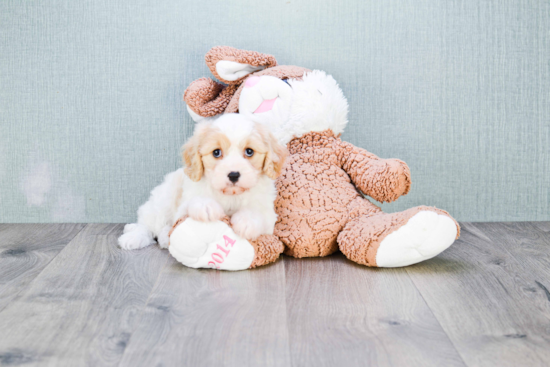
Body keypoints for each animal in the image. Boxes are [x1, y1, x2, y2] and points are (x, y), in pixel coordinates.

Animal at [119, 113, 288, 252]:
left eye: (249, 151)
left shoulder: (268, 217)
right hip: (163, 199)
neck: (230, 195)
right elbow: (192, 203)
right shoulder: (183, 205)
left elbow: (257, 213)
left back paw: (165, 238)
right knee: (148, 224)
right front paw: (205, 206)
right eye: (216, 152)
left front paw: (247, 221)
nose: (233, 175)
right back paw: (133, 237)